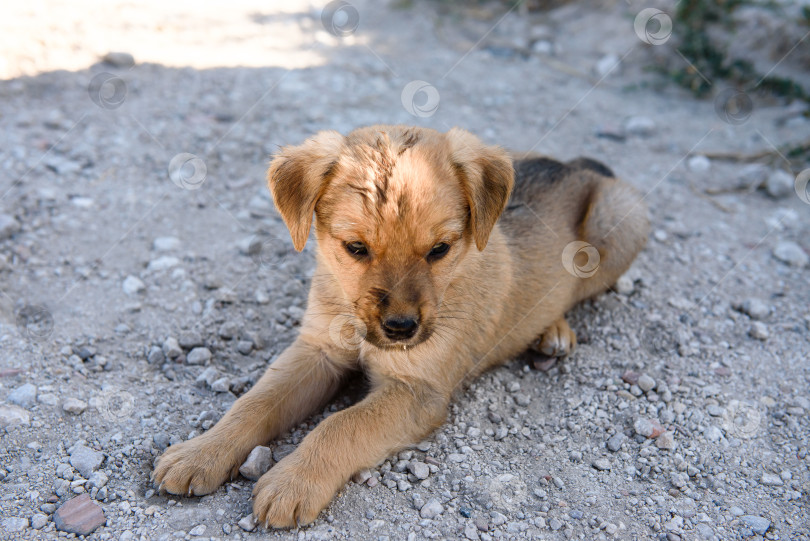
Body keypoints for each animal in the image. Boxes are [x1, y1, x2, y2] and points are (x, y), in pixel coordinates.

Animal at [150, 124, 644, 524]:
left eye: (440, 249)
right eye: (355, 248)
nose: (401, 328)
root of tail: (575, 166)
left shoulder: (417, 390)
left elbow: (341, 425)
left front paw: (293, 481)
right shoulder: (317, 352)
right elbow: (254, 402)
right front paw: (201, 452)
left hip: (616, 230)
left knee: (577, 290)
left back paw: (554, 331)